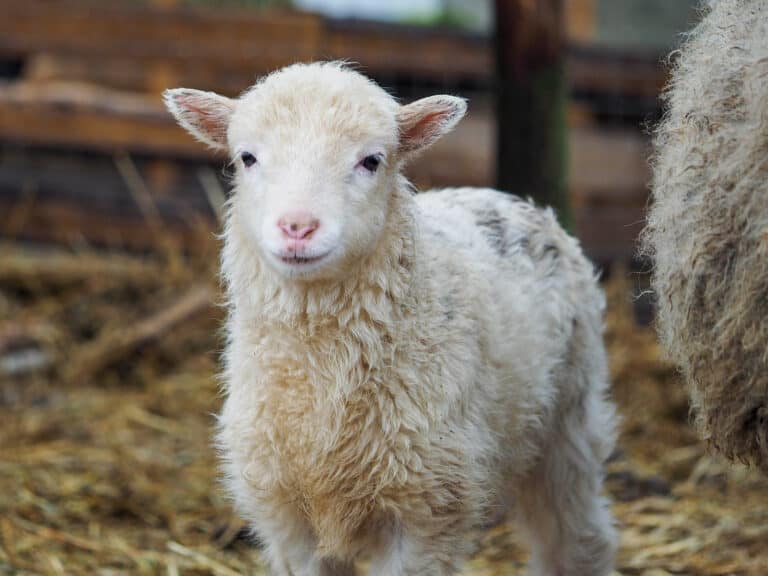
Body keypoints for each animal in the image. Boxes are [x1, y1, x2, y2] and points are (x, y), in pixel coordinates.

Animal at [164, 62, 617, 576]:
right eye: (247, 157)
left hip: (569, 418)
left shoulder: (426, 510)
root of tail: (510, 198)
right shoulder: (285, 517)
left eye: (372, 161)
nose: (297, 227)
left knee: (578, 537)